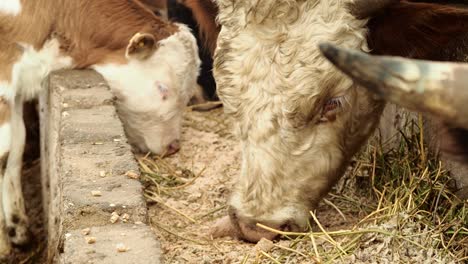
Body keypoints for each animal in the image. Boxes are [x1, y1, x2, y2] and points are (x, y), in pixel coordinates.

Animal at [0, 0, 199, 256]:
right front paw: (4, 247)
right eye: (162, 88)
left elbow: (16, 149)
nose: (173, 146)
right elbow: (3, 154)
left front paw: (19, 231)